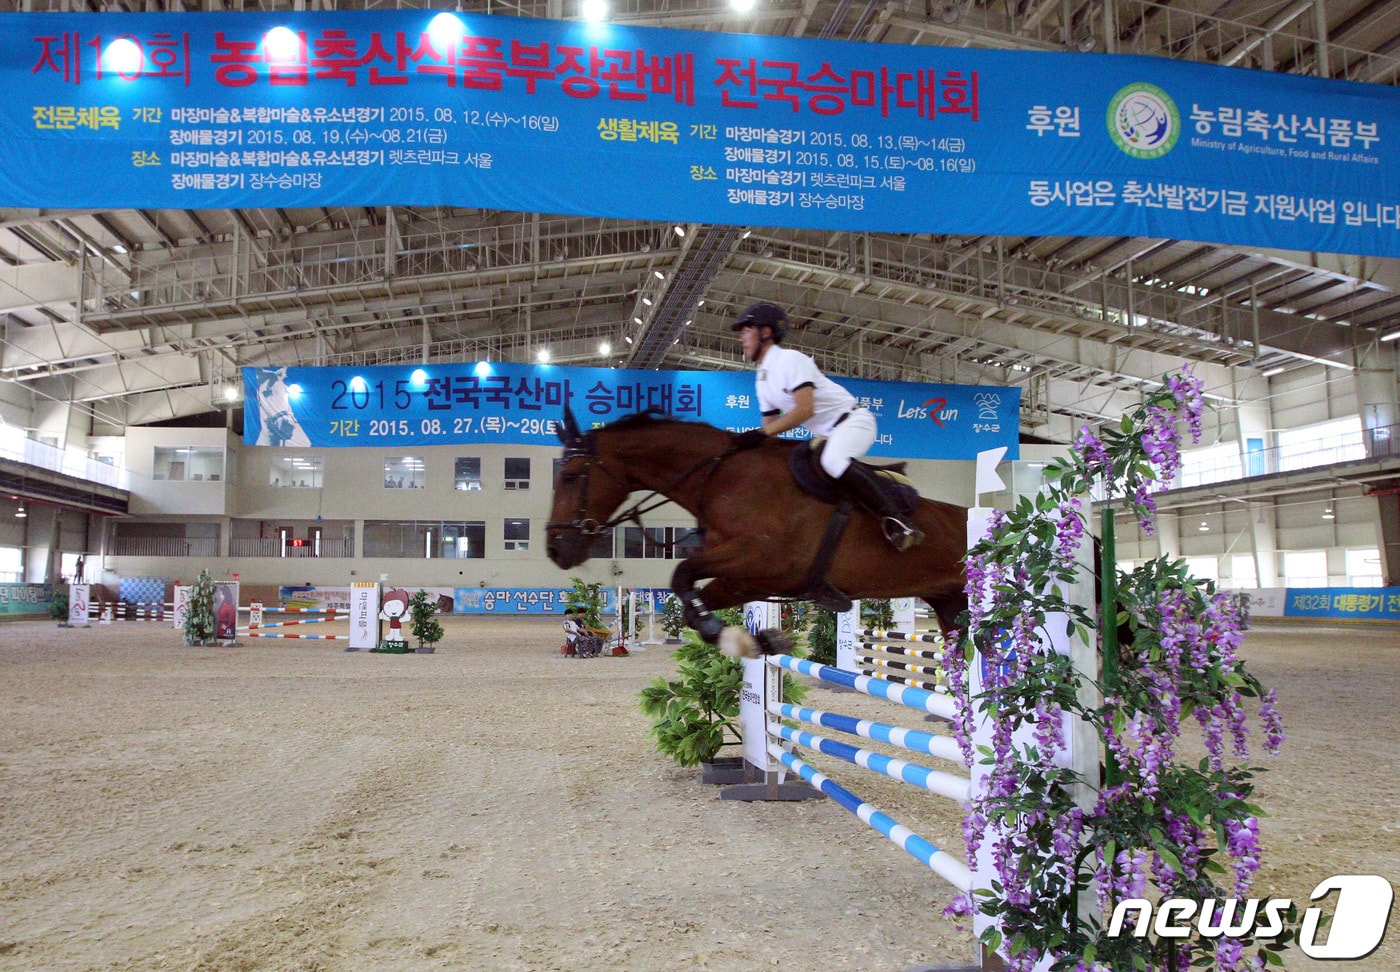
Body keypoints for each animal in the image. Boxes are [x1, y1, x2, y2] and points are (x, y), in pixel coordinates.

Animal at [546, 406, 974, 658]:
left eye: (568, 477)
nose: (555, 550)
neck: (718, 477)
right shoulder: (744, 580)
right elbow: (691, 604)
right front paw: (754, 639)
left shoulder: (762, 558)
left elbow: (681, 574)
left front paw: (737, 636)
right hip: (951, 605)